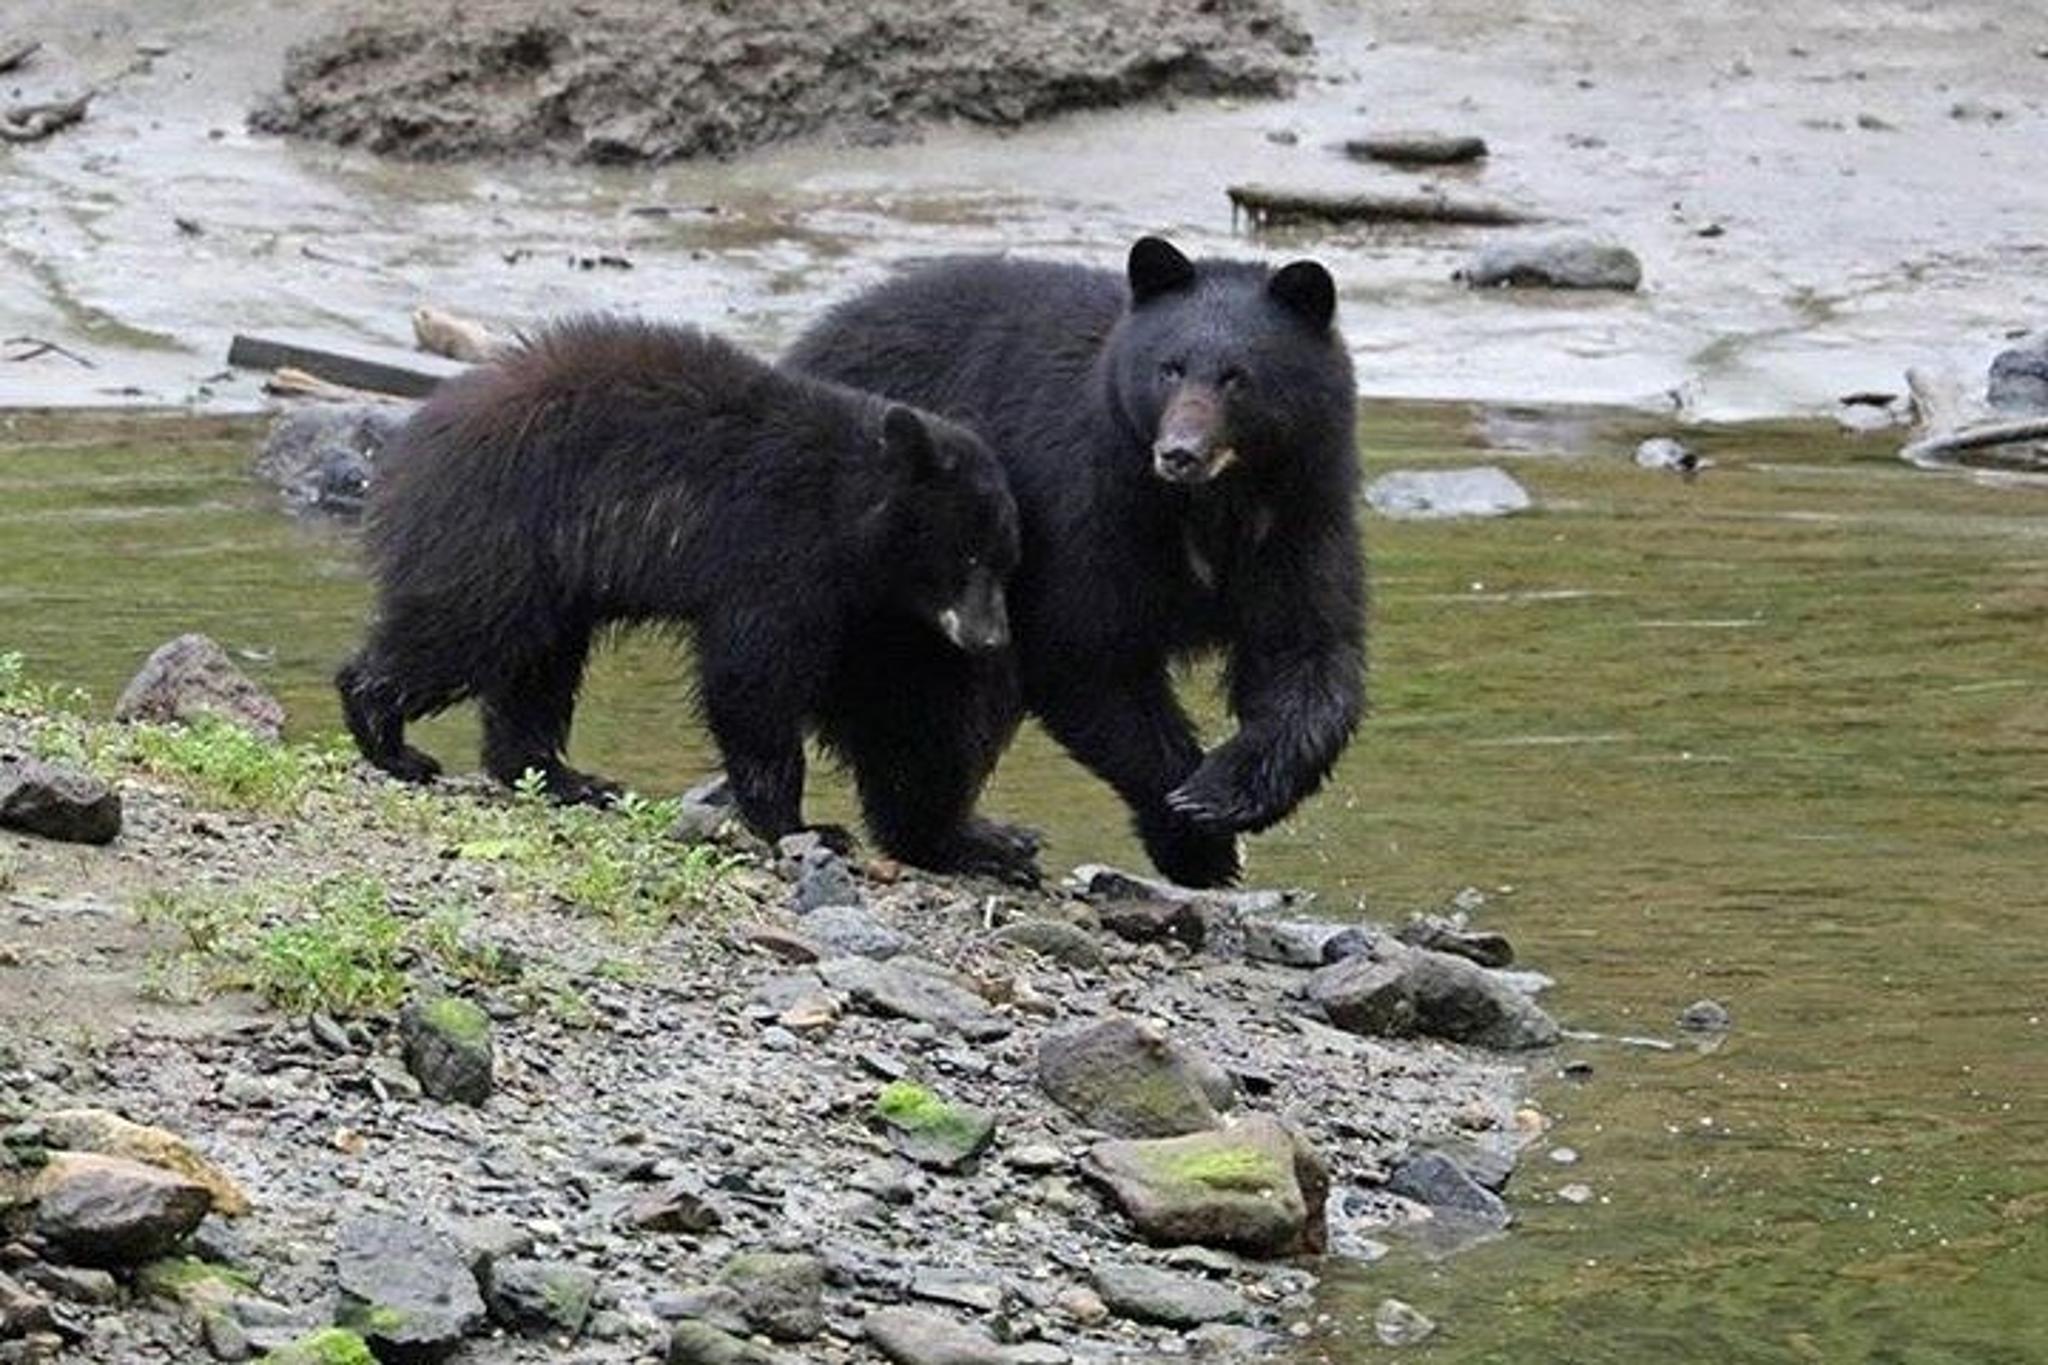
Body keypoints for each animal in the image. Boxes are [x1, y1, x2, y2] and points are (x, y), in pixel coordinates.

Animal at [335, 316, 1038, 880]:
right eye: (967, 556)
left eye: (1006, 559)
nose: (991, 637)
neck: (847, 504)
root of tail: (413, 444)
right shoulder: (776, 555)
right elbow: (752, 682)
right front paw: (805, 826)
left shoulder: (861, 607)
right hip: (505, 534)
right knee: (462, 631)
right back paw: (389, 738)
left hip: (554, 577)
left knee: (538, 670)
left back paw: (564, 777)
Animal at [784, 237, 1364, 888]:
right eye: (1169, 368)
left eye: (1237, 378)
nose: (1179, 453)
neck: (1210, 505)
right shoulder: (1086, 508)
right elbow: (1086, 651)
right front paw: (1194, 835)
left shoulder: (1297, 522)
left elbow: (1306, 655)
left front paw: (1224, 794)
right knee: (931, 707)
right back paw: (976, 841)